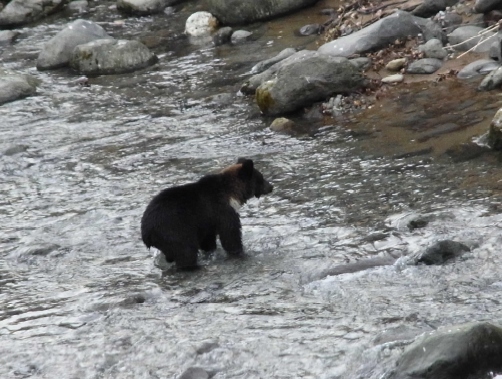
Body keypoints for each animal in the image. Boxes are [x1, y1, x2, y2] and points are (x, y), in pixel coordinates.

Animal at [141, 158, 274, 270]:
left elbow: (208, 240)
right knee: (186, 252)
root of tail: (147, 232)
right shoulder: (221, 210)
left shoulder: (207, 223)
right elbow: (230, 235)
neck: (231, 194)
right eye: (261, 178)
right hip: (173, 230)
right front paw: (240, 252)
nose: (271, 186)